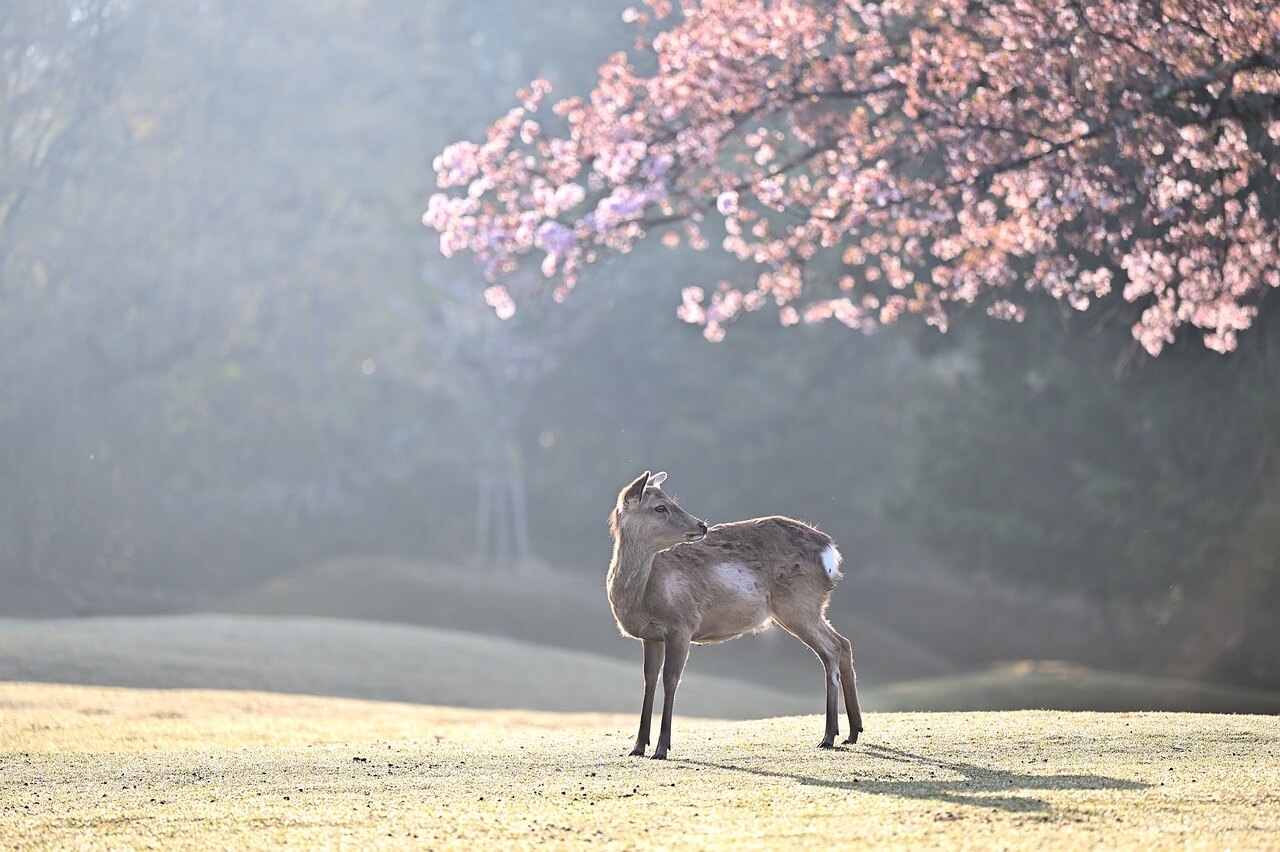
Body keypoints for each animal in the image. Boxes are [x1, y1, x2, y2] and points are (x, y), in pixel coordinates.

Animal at [606, 470, 865, 757]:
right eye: (660, 507)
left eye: (671, 502)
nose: (702, 525)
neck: (642, 597)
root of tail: (830, 551)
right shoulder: (650, 636)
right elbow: (649, 680)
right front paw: (638, 746)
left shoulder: (682, 625)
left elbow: (671, 680)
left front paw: (662, 748)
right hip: (809, 608)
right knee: (843, 643)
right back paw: (852, 732)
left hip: (799, 604)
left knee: (831, 649)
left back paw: (829, 736)